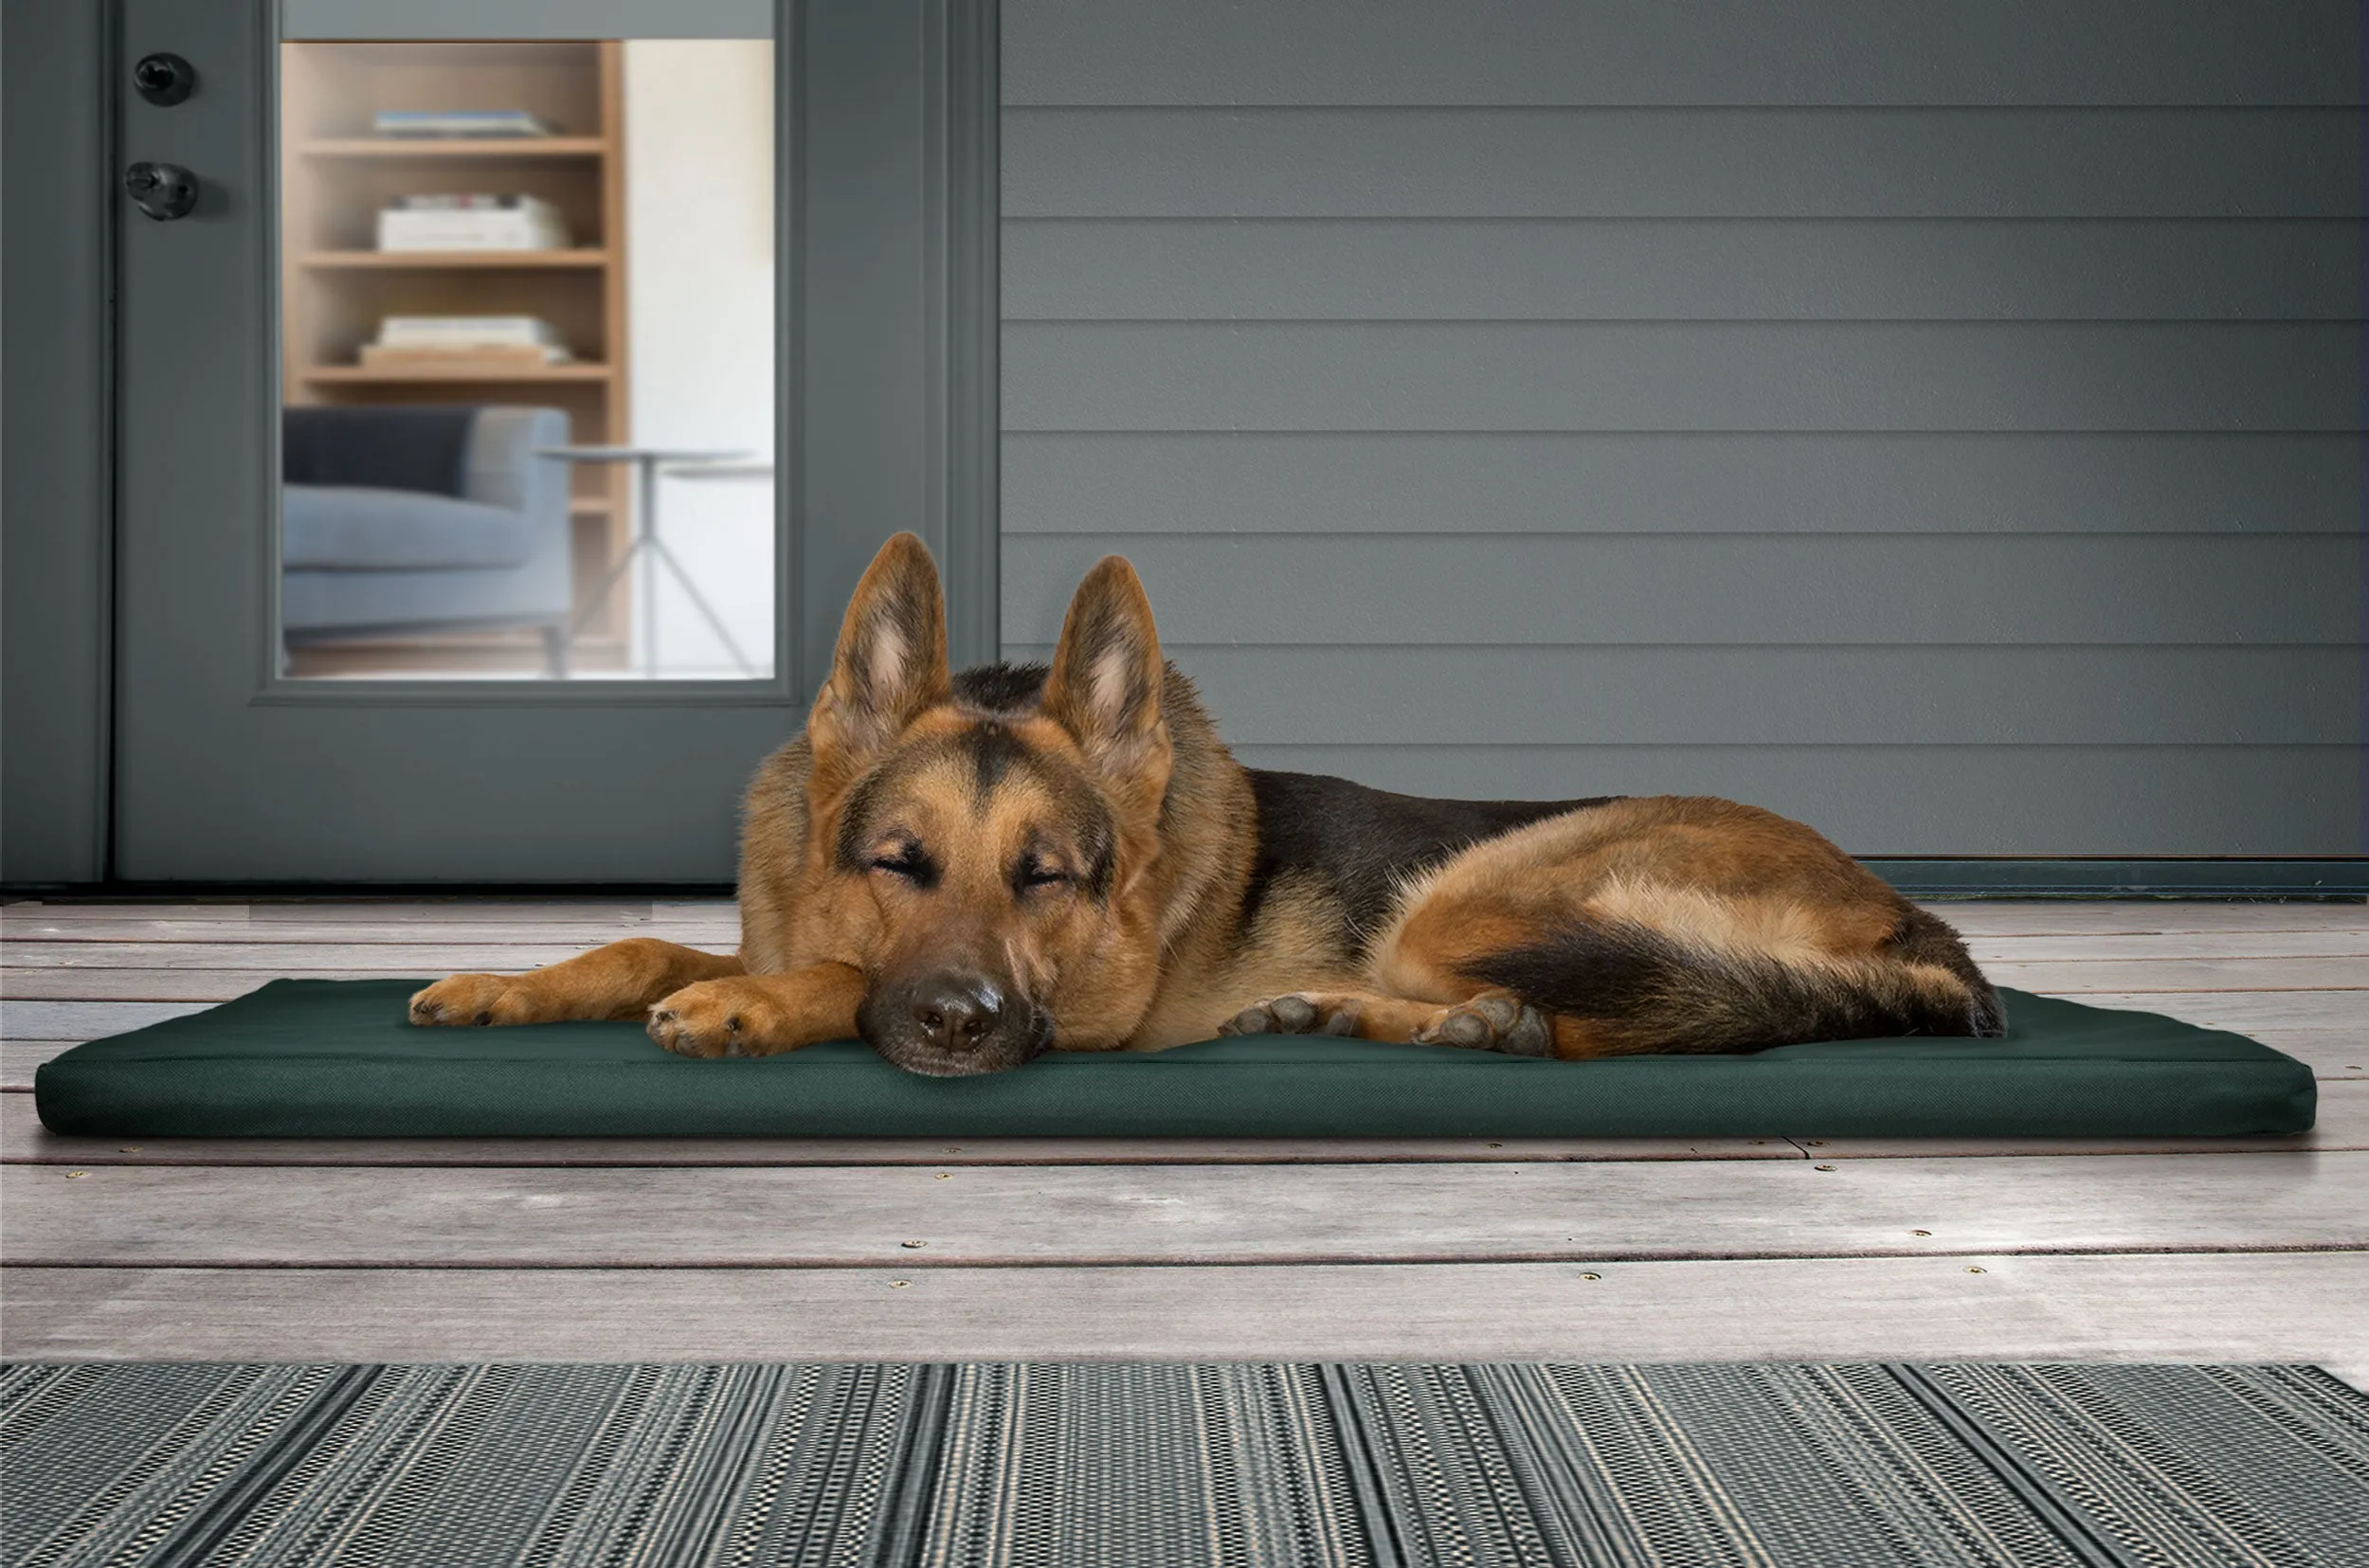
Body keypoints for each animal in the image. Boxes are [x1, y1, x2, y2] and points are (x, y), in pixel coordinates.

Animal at [407, 535, 1999, 1075]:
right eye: (897, 858)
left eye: (1049, 875)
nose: (962, 1024)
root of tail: (1922, 923)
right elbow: (647, 945)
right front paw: (510, 985)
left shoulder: (1083, 1011)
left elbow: (832, 981)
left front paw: (751, 1006)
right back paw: (1380, 1020)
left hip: (1468, 885)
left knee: (1626, 1014)